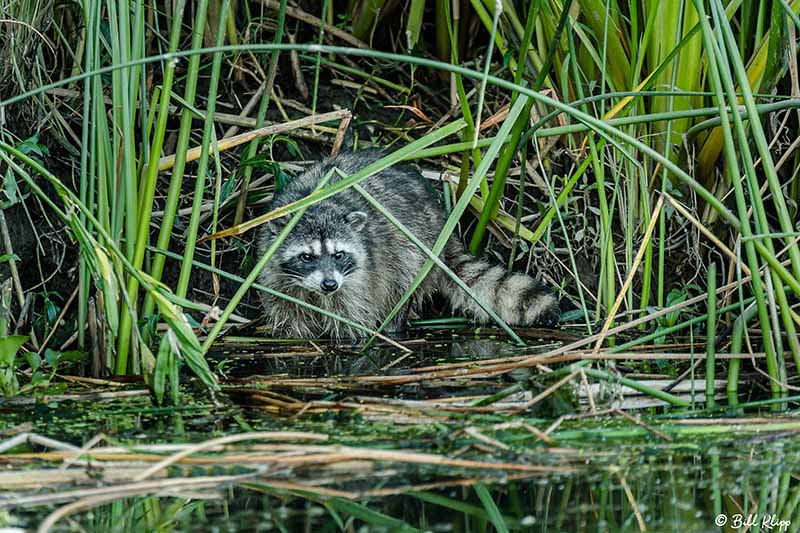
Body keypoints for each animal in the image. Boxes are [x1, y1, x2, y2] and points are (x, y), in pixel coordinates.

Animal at [256, 149, 556, 336]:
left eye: (339, 254)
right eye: (306, 257)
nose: (329, 285)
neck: (315, 205)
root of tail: (442, 223)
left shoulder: (360, 280)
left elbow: (354, 321)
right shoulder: (275, 280)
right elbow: (290, 321)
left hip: (415, 254)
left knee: (400, 290)